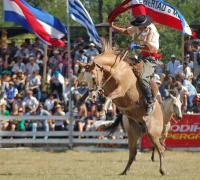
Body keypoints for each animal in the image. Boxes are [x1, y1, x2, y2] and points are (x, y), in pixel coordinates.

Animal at [77, 40, 166, 174]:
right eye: (85, 78)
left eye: (93, 77)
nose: (92, 95)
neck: (117, 70)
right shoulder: (106, 89)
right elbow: (106, 95)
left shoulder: (121, 89)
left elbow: (109, 97)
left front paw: (102, 112)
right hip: (133, 133)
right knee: (133, 152)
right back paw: (124, 172)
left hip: (153, 132)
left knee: (161, 149)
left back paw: (163, 170)